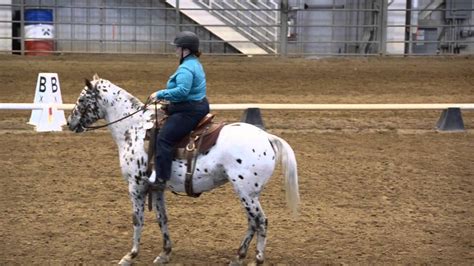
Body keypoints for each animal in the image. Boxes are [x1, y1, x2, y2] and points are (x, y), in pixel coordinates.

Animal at [67, 74, 300, 264]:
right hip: (248, 193)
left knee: (261, 221)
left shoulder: (136, 186)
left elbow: (137, 219)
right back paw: (238, 256)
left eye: (82, 99)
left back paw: (257, 258)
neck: (134, 128)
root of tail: (267, 137)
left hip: (246, 191)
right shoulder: (156, 188)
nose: (70, 122)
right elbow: (162, 218)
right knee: (252, 222)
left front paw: (130, 255)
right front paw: (164, 253)